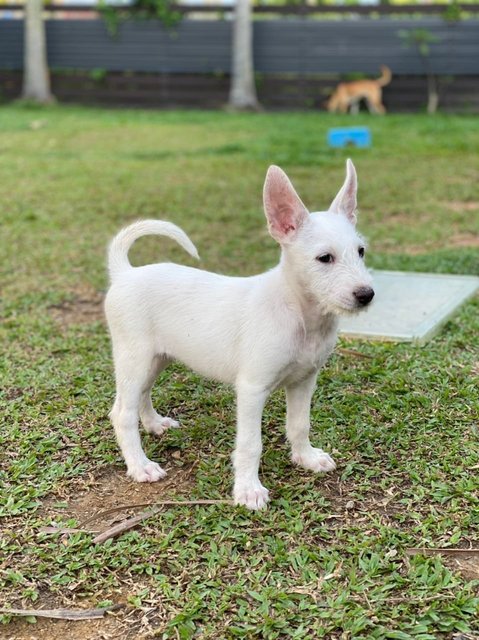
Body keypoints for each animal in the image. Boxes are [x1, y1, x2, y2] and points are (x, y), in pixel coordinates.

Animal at [105, 161, 376, 510]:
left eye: (361, 251)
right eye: (325, 258)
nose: (366, 294)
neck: (299, 314)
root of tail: (125, 273)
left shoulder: (304, 380)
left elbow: (299, 425)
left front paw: (306, 458)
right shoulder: (251, 389)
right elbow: (250, 444)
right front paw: (248, 490)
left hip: (157, 358)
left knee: (142, 394)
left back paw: (154, 424)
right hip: (134, 359)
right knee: (121, 413)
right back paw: (140, 466)